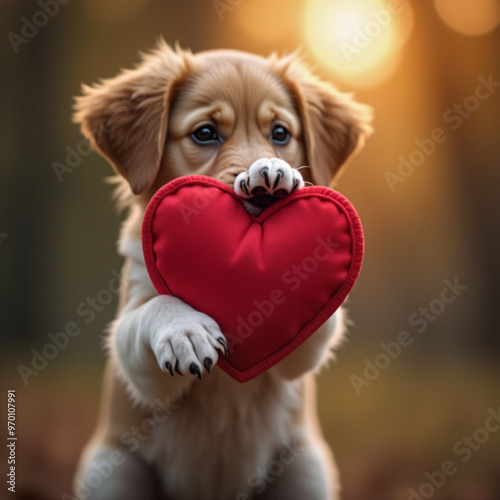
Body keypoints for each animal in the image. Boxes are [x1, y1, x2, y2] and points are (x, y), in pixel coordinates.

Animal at [73, 40, 372, 500]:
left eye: (280, 133)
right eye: (205, 133)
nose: (264, 195)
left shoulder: (294, 362)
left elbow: (316, 320)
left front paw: (277, 174)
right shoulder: (143, 377)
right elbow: (151, 311)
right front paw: (186, 332)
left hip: (307, 469)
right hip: (113, 470)